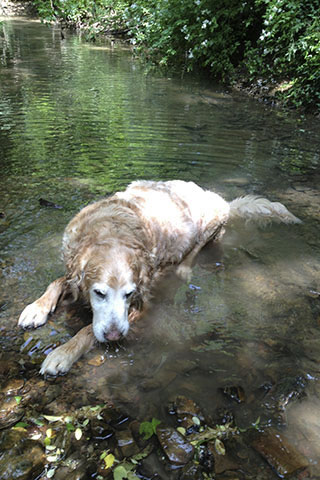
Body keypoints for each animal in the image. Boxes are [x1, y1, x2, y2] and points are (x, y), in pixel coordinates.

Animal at [18, 180, 300, 376]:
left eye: (129, 294)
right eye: (99, 293)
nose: (114, 336)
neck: (110, 230)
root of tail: (220, 199)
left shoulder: (141, 303)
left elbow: (87, 330)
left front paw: (62, 353)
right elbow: (57, 281)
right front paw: (36, 308)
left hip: (212, 223)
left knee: (196, 248)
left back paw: (184, 268)